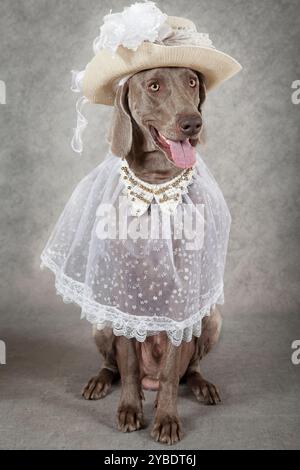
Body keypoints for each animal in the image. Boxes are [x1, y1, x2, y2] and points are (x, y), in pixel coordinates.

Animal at [82, 66, 223, 444]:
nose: (192, 123)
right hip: (103, 320)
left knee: (188, 369)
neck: (158, 185)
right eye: (154, 85)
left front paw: (167, 419)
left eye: (192, 81)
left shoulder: (181, 301)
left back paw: (200, 386)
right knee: (115, 364)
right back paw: (101, 381)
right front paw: (131, 409)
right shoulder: (125, 297)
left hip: (211, 318)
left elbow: (173, 369)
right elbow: (129, 365)